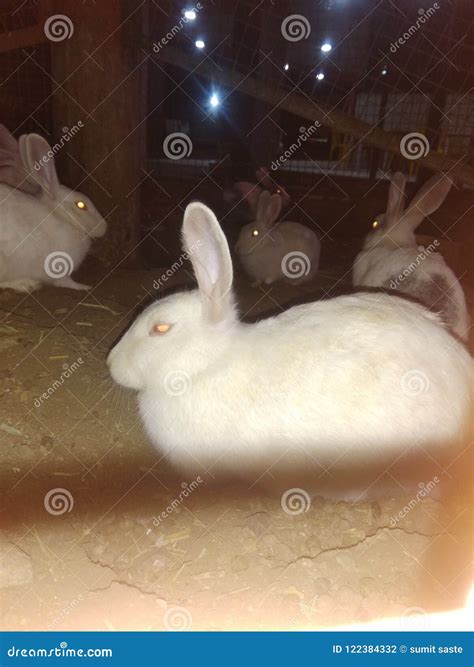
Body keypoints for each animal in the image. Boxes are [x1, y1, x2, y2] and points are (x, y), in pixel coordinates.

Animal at [0, 132, 106, 292]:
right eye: (81, 205)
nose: (104, 227)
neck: (61, 216)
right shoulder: (58, 267)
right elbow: (66, 282)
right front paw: (84, 287)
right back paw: (26, 284)